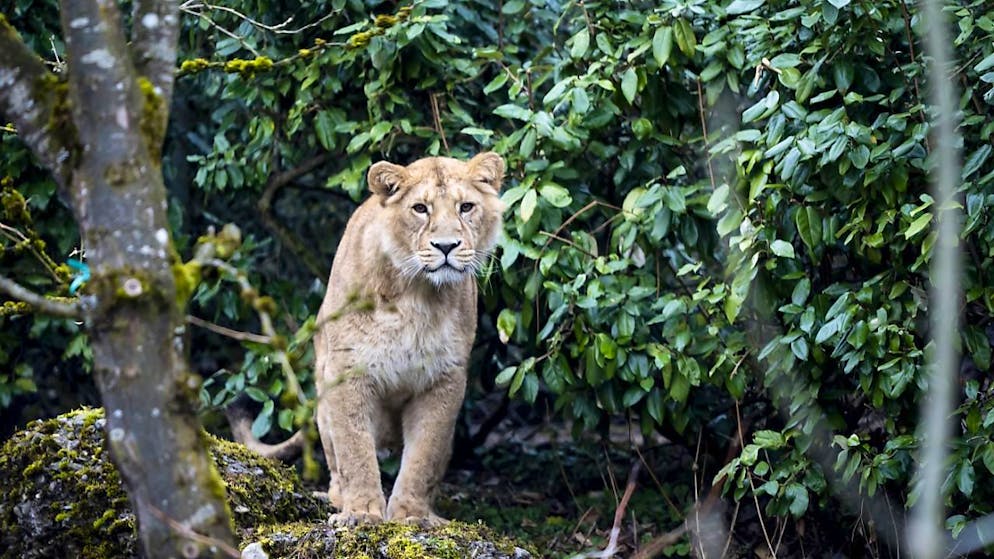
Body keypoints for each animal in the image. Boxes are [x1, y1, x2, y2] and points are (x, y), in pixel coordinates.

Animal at [313, 152, 505, 526]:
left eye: (466, 207)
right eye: (420, 208)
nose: (446, 246)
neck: (417, 294)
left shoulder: (445, 376)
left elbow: (424, 454)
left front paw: (411, 515)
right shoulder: (346, 368)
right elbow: (355, 449)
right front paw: (361, 512)